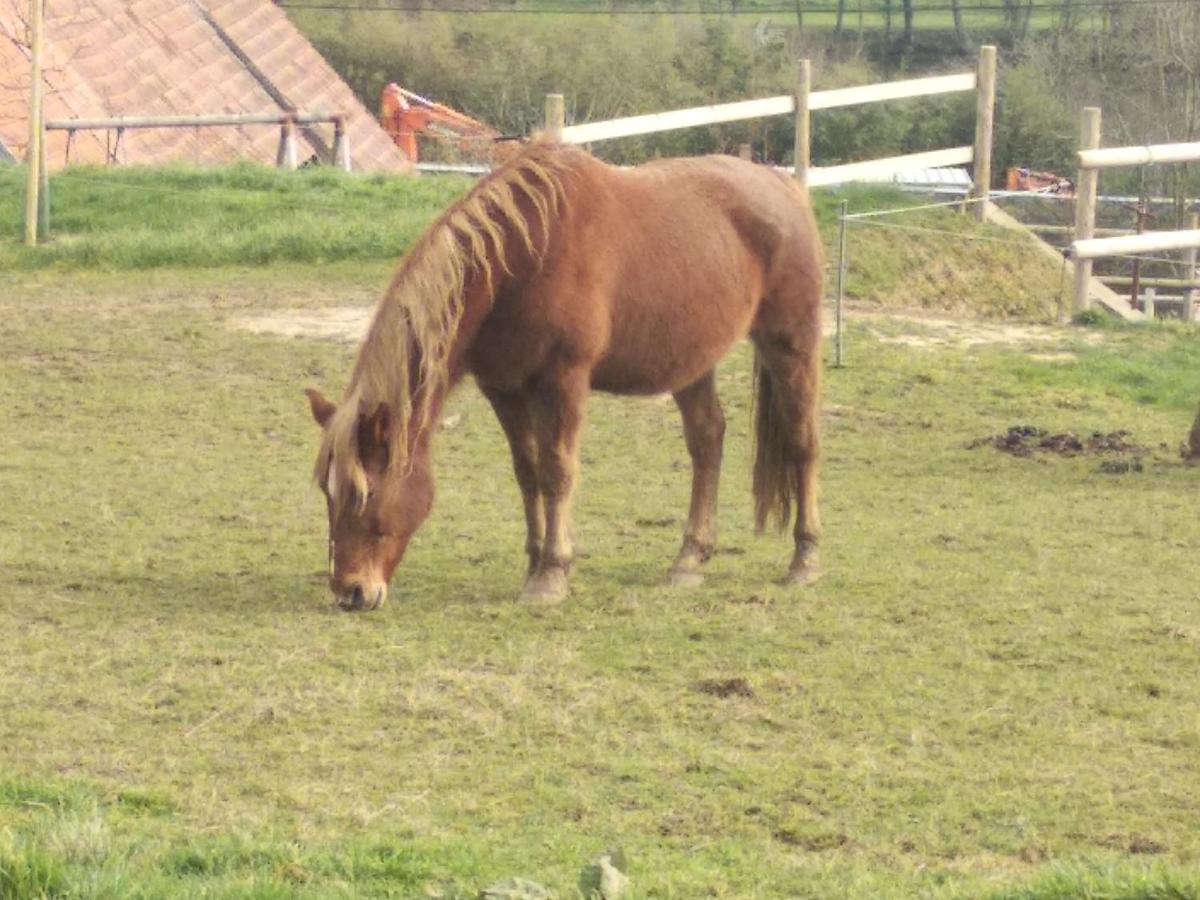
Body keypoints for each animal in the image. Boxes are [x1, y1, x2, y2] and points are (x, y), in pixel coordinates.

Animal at [307, 142, 825, 614]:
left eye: (366, 493)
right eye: (327, 491)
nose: (352, 592)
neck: (518, 259)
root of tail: (784, 187)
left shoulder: (562, 380)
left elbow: (557, 471)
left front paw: (551, 575)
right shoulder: (504, 387)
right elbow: (528, 472)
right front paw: (537, 560)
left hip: (791, 344)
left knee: (802, 441)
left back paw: (805, 560)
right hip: (692, 362)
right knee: (707, 441)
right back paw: (689, 560)